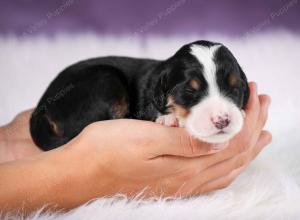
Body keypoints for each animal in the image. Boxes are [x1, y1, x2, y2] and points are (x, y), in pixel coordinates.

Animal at [30, 40, 250, 151]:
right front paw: (170, 118)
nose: (222, 120)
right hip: (105, 79)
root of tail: (41, 108)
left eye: (235, 89)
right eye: (189, 91)